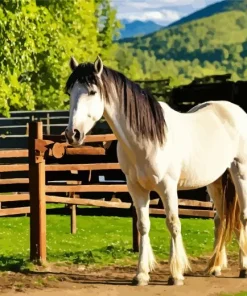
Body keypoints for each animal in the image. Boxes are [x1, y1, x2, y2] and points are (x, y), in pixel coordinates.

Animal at [64, 55, 247, 286]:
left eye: (92, 92)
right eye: (70, 92)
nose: (72, 134)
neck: (146, 139)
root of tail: (234, 111)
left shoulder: (167, 188)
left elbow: (173, 223)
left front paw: (176, 274)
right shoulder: (136, 189)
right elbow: (143, 225)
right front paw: (141, 275)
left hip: (240, 172)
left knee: (242, 216)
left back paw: (243, 268)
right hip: (216, 181)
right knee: (221, 219)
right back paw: (215, 267)